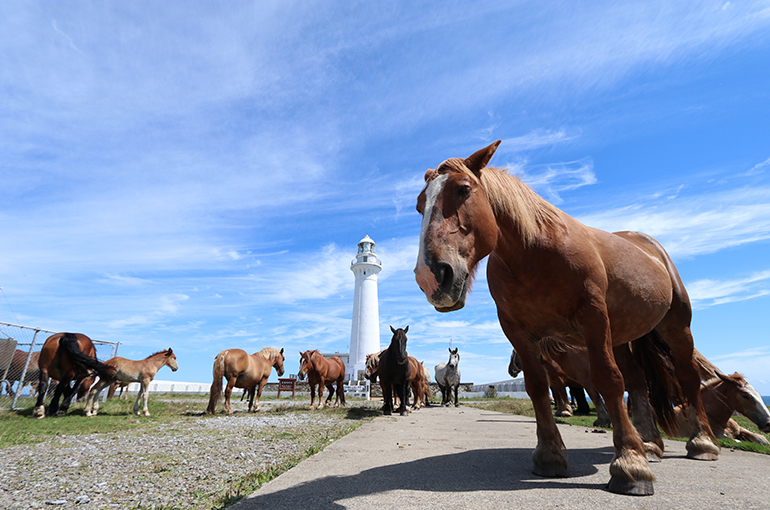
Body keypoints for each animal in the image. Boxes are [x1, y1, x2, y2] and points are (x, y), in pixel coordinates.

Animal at [414, 140, 712, 494]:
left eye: (463, 189)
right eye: (419, 206)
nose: (430, 277)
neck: (536, 253)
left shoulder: (593, 318)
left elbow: (608, 380)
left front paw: (629, 464)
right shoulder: (518, 331)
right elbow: (538, 388)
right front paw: (550, 456)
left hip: (676, 327)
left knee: (687, 376)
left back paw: (701, 443)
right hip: (622, 337)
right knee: (638, 382)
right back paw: (650, 444)